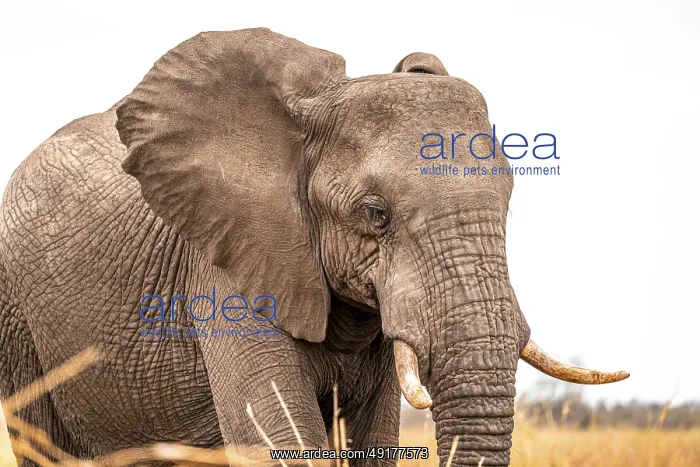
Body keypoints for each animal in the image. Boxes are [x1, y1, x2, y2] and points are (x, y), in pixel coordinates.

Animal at [0, 28, 629, 466]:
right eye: (376, 214)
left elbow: (376, 438)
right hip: (17, 317)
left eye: (508, 205)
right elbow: (280, 436)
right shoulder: (229, 267)